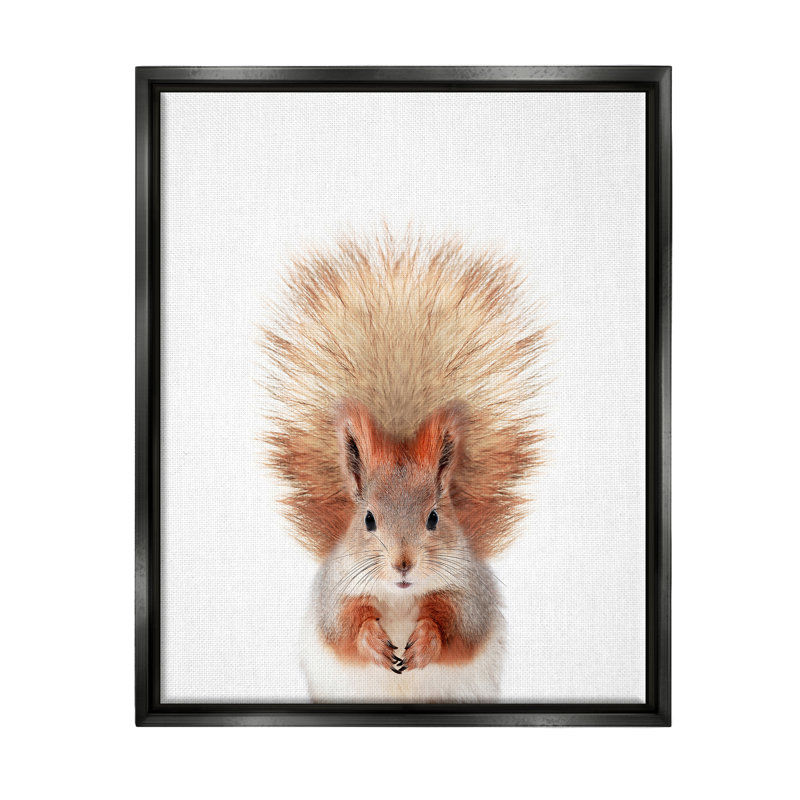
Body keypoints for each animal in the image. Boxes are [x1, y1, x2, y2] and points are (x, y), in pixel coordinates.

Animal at [259, 229, 547, 702]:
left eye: (433, 518)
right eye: (368, 519)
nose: (402, 564)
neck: (398, 597)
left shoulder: (470, 594)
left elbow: (457, 627)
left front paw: (426, 640)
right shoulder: (335, 593)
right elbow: (343, 627)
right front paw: (372, 641)